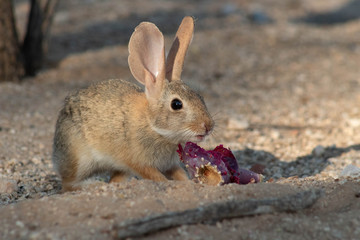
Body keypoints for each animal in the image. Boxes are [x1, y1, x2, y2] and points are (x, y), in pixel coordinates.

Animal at [52, 16, 215, 191]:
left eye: (200, 97)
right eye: (176, 104)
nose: (208, 126)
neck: (152, 125)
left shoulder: (168, 164)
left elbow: (179, 173)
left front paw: (189, 182)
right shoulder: (136, 161)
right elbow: (155, 176)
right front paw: (170, 183)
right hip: (79, 157)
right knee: (68, 184)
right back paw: (92, 185)